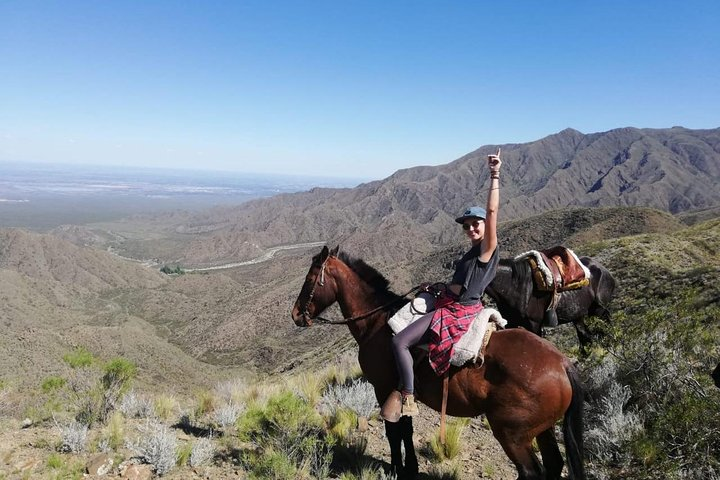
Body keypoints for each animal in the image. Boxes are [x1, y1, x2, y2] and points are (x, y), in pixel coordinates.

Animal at [292, 248, 584, 480]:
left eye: (310, 279)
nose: (296, 315)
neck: (376, 323)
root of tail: (562, 364)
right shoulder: (402, 392)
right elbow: (406, 431)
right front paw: (410, 467)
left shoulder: (383, 388)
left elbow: (393, 433)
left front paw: (397, 468)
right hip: (543, 429)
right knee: (554, 464)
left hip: (512, 435)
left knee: (531, 472)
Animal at [484, 255, 612, 352]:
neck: (514, 286)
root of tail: (602, 269)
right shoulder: (511, 324)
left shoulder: (534, 324)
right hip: (580, 315)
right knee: (585, 335)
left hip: (599, 310)